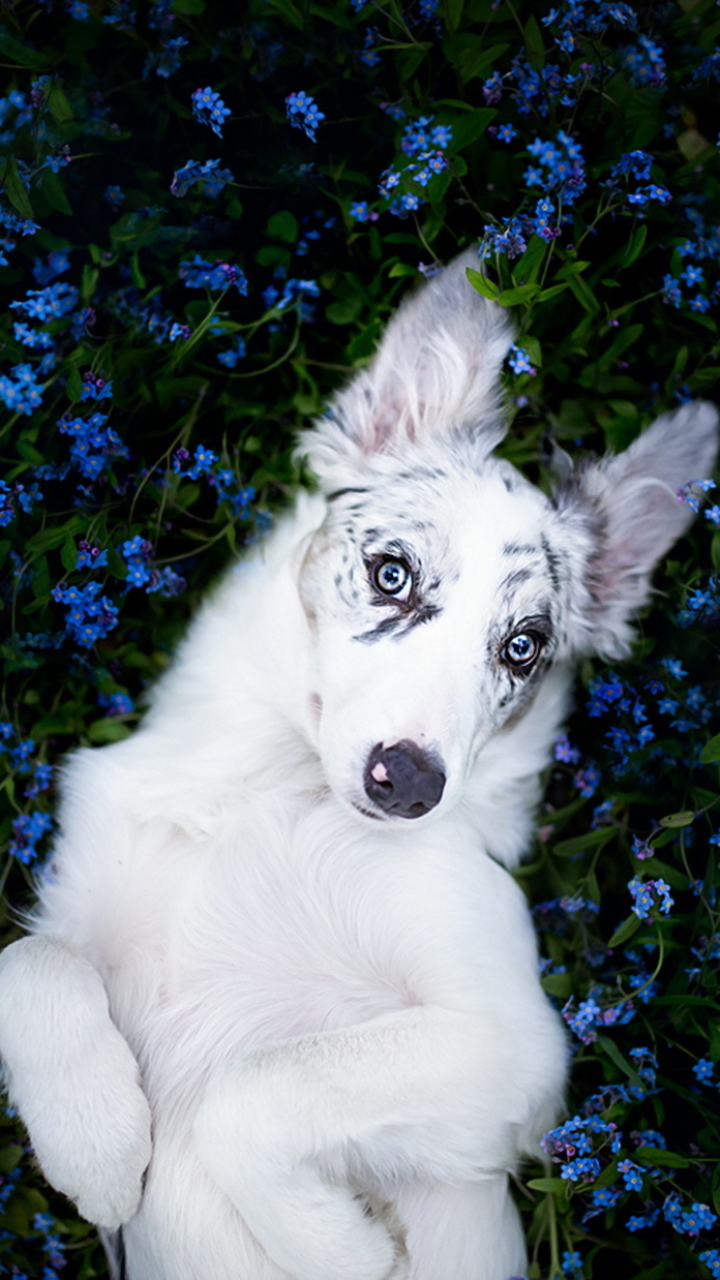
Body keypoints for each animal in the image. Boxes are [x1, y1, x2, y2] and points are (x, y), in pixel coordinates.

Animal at [0, 252, 712, 1280]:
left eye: (525, 647)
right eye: (390, 574)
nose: (408, 783)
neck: (264, 790)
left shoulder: (515, 1043)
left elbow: (253, 1091)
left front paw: (338, 1248)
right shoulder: (85, 903)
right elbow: (30, 960)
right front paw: (95, 1147)